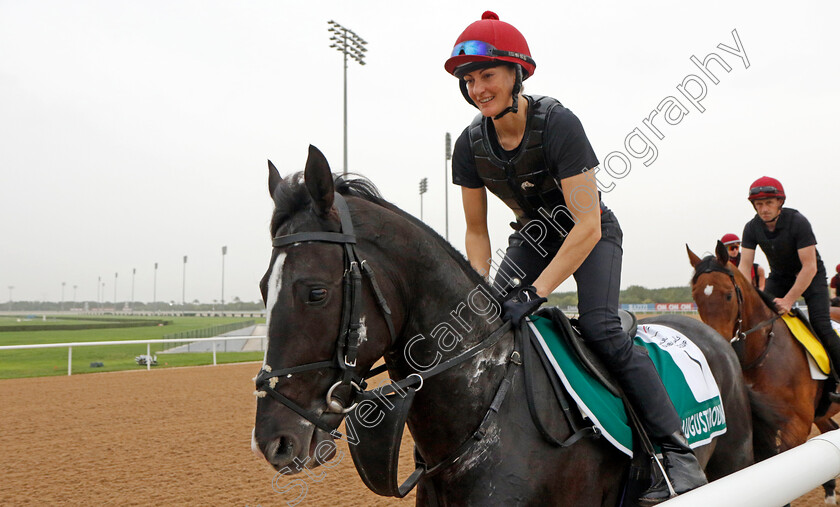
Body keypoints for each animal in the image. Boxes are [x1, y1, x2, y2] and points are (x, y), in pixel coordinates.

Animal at [688, 243, 840, 504]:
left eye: (728, 295)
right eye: (696, 297)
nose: (717, 343)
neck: (762, 354)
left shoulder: (795, 428)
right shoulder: (762, 431)